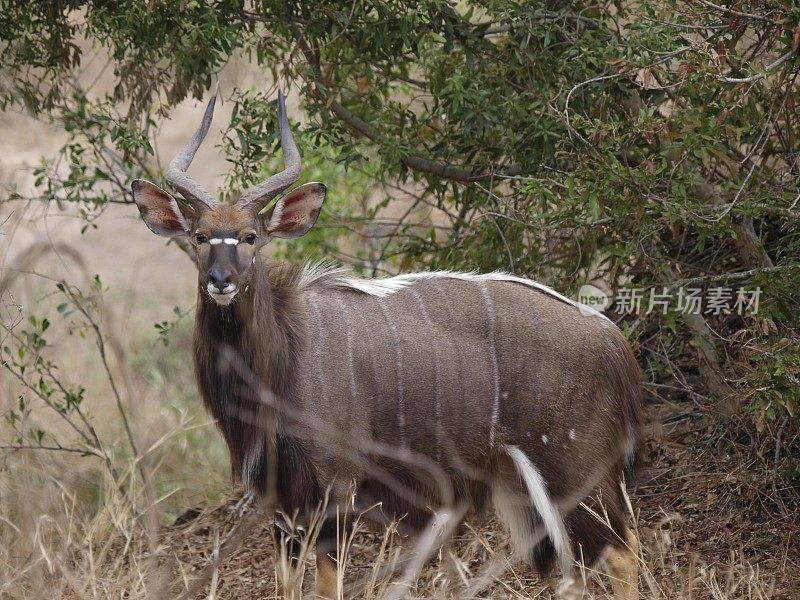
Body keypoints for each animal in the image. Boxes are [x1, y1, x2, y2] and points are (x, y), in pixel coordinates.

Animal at [131, 91, 644, 596]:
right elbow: (286, 582)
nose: (220, 280)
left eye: (250, 236)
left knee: (623, 550)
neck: (286, 355)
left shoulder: (335, 486)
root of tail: (612, 339)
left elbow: (328, 583)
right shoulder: (280, 498)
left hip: (575, 468)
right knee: (576, 567)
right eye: (199, 236)